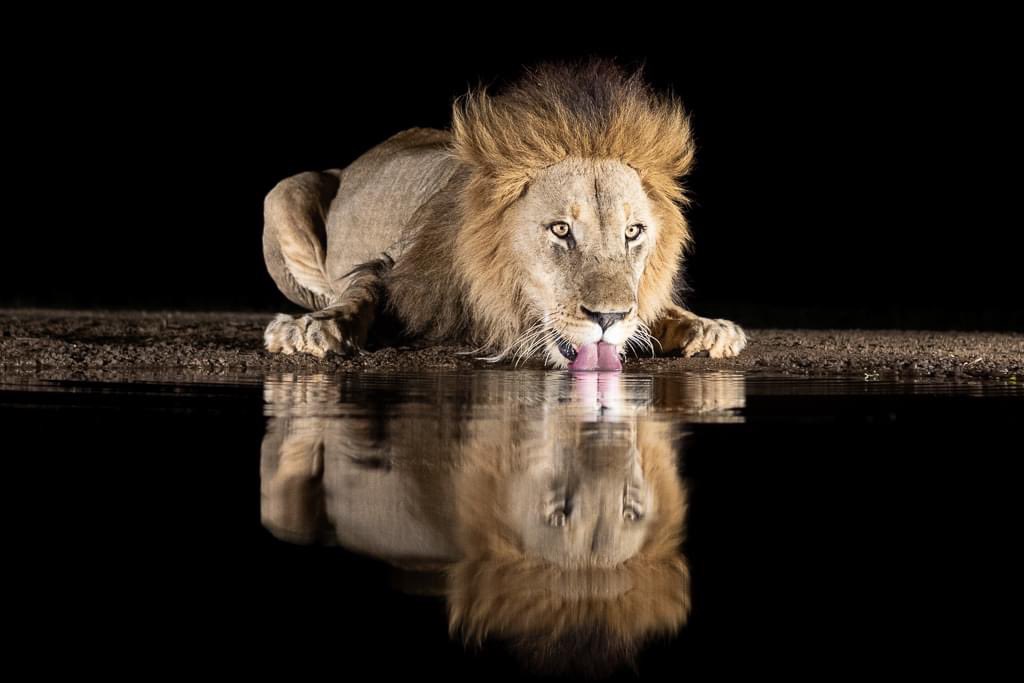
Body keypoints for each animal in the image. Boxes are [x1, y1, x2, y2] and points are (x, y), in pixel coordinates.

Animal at [262, 59, 747, 369]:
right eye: (561, 230)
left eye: (633, 232)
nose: (608, 319)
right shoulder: (401, 267)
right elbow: (359, 291)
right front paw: (313, 329)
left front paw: (708, 327)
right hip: (283, 192)